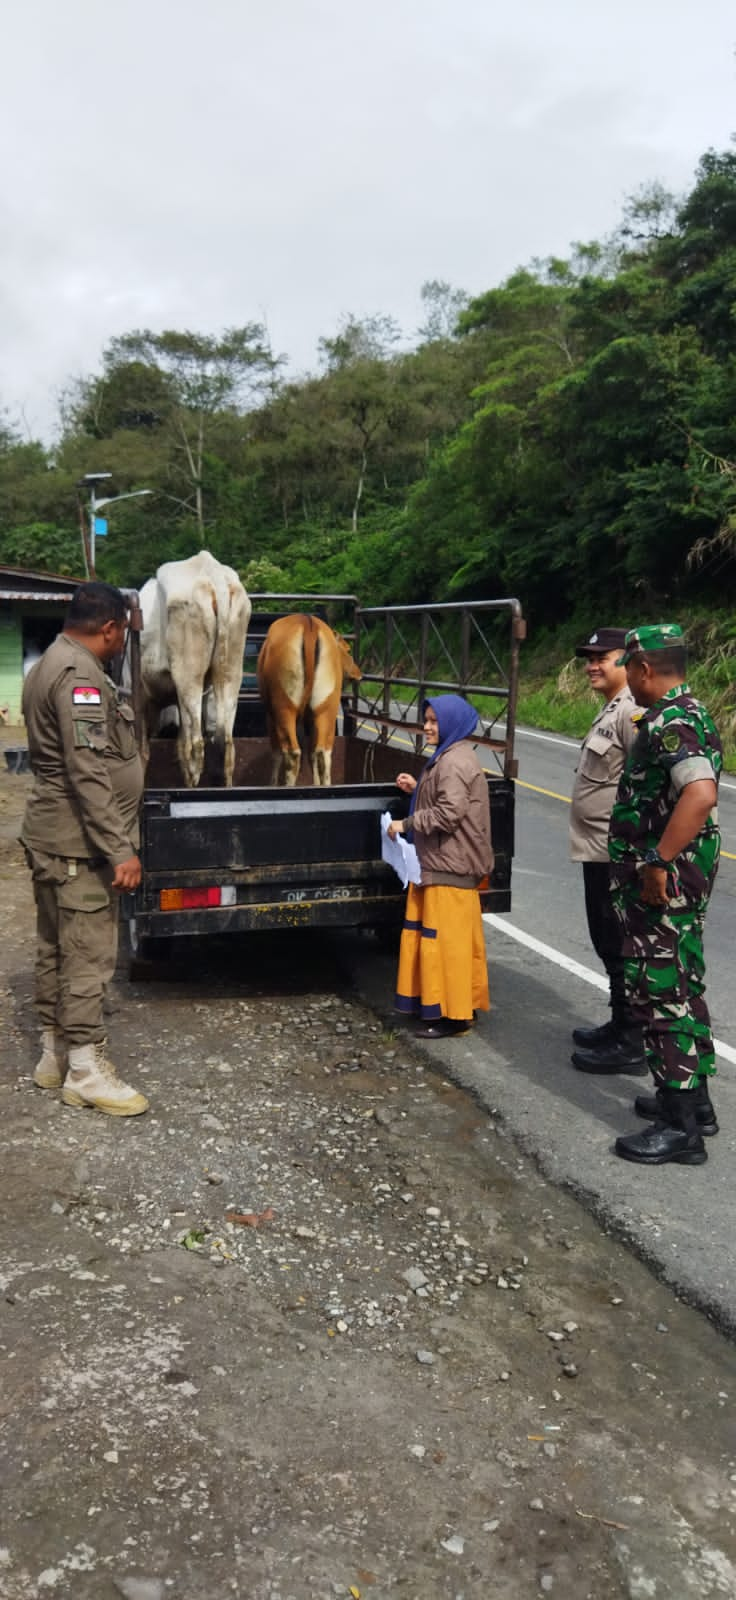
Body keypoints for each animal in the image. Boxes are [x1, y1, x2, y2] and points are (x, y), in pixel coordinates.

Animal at [259, 611, 361, 787]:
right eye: (348, 650)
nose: (358, 673)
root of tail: (308, 622)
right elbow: (312, 753)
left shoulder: (270, 716)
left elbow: (277, 753)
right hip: (326, 709)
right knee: (323, 753)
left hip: (284, 708)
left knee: (292, 753)